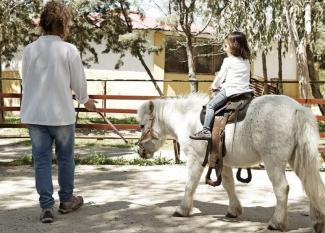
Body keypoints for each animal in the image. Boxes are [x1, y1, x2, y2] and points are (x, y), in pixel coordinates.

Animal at [135, 93, 324, 232]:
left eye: (142, 126)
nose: (140, 151)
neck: (187, 119)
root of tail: (298, 109)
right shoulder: (221, 162)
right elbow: (228, 185)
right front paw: (234, 210)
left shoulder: (196, 159)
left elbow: (190, 185)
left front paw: (182, 210)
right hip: (298, 159)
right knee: (311, 185)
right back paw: (317, 221)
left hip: (273, 162)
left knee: (282, 189)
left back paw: (276, 223)